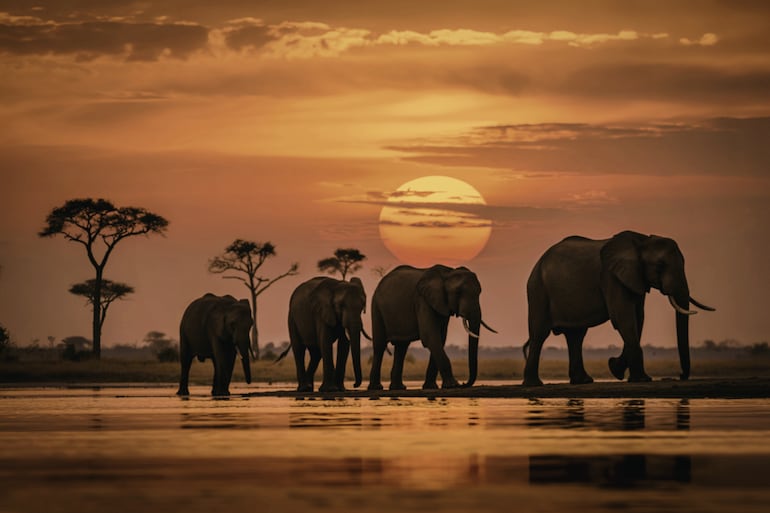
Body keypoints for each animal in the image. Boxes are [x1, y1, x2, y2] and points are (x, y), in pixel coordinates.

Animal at [368, 265, 497, 391]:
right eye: (458, 292)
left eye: (479, 292)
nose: (464, 383)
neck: (447, 273)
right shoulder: (422, 300)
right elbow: (430, 336)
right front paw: (453, 385)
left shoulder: (442, 304)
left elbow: (440, 337)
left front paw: (431, 387)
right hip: (376, 307)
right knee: (380, 346)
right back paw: (376, 388)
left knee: (402, 347)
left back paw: (398, 388)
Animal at [522, 231, 715, 386]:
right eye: (660, 266)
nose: (680, 375)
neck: (642, 240)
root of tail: (538, 262)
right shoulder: (611, 277)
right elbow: (623, 316)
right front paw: (641, 379)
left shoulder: (636, 278)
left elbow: (638, 317)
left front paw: (615, 368)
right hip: (538, 289)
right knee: (540, 334)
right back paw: (534, 384)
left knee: (576, 335)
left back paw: (583, 381)